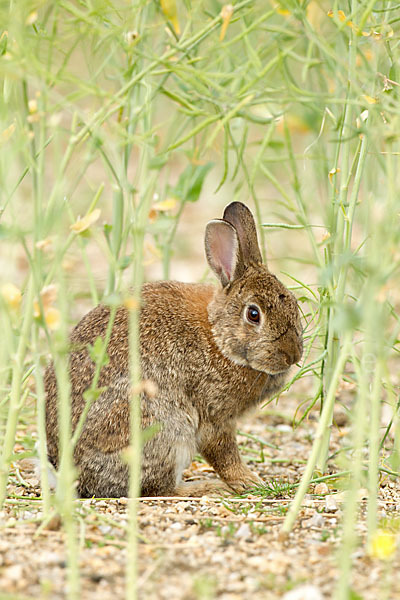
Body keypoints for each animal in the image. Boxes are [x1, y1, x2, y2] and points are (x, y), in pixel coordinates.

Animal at [44, 202, 304, 496]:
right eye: (253, 314)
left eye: (294, 303)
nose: (293, 355)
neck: (218, 337)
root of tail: (71, 474)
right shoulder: (213, 414)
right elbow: (223, 452)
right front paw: (248, 481)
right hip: (163, 427)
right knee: (160, 488)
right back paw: (205, 487)